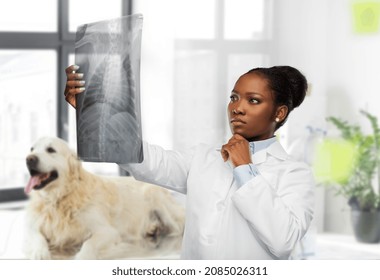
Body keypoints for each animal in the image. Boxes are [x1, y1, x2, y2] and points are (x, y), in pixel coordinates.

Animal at [23, 137, 185, 260]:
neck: (59, 198)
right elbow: (37, 237)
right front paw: (39, 252)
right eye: (32, 149)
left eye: (51, 150)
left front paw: (82, 256)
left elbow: (89, 243)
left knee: (177, 229)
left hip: (158, 199)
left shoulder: (107, 231)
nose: (29, 159)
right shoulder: (33, 226)